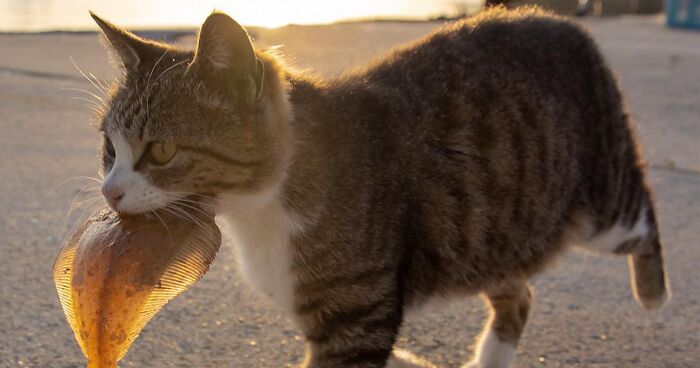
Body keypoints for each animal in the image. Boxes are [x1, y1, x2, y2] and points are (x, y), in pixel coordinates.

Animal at [91, 6, 668, 368]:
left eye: (161, 151)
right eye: (109, 147)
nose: (109, 192)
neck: (260, 210)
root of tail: (561, 20)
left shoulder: (355, 319)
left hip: (600, 204)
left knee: (641, 215)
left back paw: (654, 292)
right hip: (491, 232)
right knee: (519, 293)